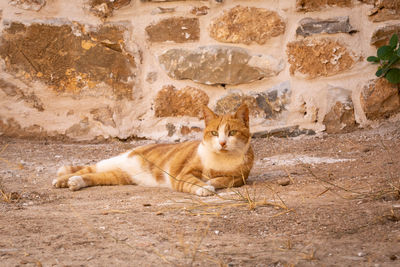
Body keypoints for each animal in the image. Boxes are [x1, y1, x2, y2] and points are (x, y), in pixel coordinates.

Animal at [52, 104, 253, 197]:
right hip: (112, 161)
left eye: (232, 132)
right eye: (214, 133)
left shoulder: (239, 177)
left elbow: (224, 180)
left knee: (92, 176)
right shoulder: (182, 174)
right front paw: (204, 187)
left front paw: (212, 182)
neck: (221, 160)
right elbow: (194, 181)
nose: (222, 143)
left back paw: (74, 182)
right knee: (88, 168)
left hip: (117, 177)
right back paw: (62, 180)